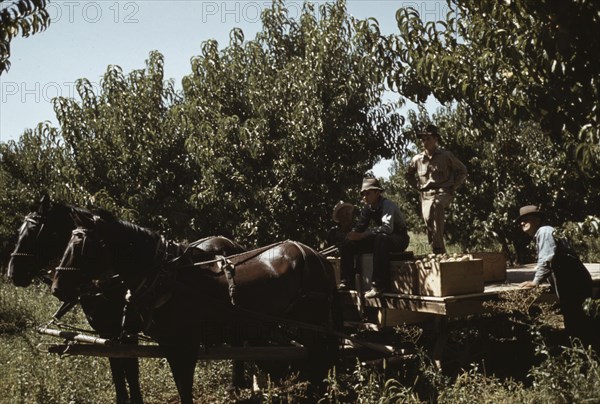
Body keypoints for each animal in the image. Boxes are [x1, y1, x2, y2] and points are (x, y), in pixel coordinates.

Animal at [52, 210, 340, 402]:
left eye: (82, 245)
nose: (57, 288)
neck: (165, 277)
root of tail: (316, 255)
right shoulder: (163, 344)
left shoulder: (183, 346)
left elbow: (183, 389)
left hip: (310, 323)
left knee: (319, 358)